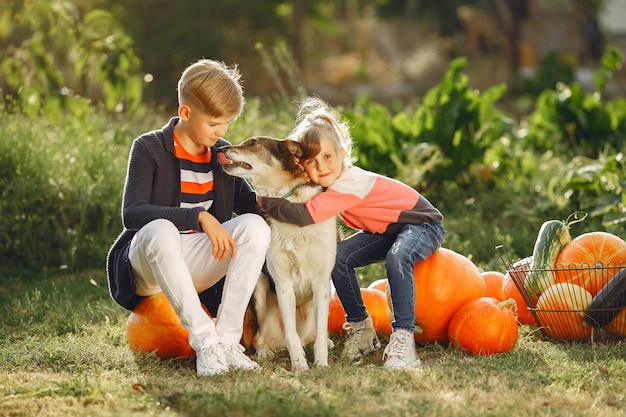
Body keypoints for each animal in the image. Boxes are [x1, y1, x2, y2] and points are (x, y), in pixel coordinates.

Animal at [218, 135, 338, 368]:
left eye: (253, 142)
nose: (220, 149)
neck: (289, 203)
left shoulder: (321, 281)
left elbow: (320, 331)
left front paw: (321, 363)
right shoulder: (283, 283)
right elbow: (291, 335)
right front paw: (300, 365)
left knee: (313, 335)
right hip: (259, 286)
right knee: (260, 337)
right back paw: (265, 350)